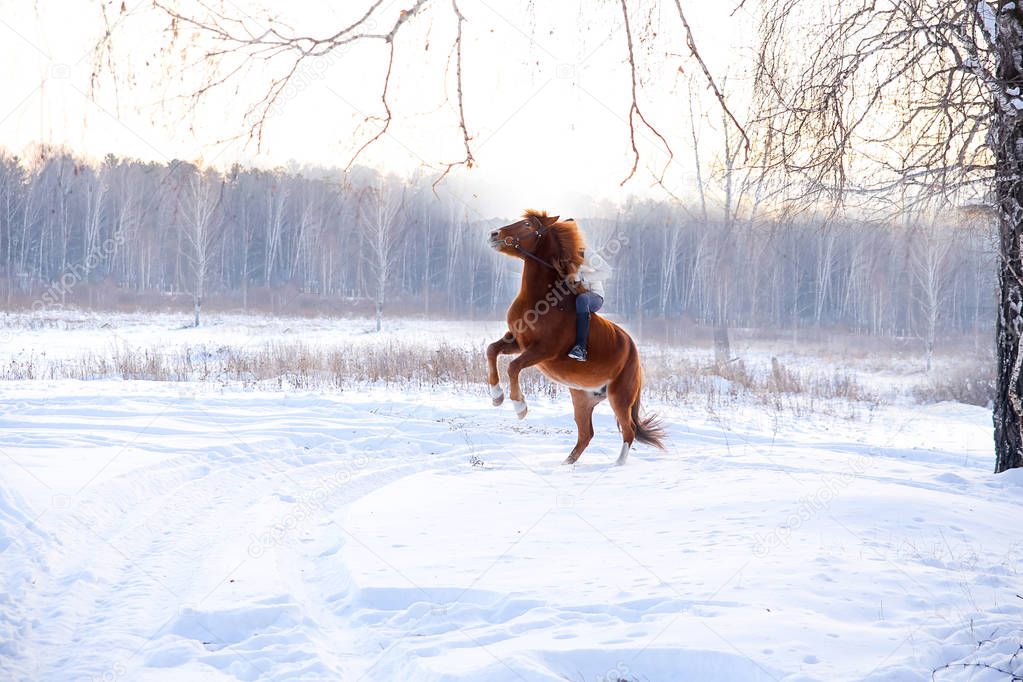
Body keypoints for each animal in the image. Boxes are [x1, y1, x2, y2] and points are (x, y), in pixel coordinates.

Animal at [488, 208, 671, 464]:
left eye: (527, 225)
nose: (494, 234)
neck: (543, 300)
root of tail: (633, 351)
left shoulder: (543, 350)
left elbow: (513, 367)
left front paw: (519, 407)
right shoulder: (518, 341)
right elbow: (492, 350)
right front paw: (497, 396)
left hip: (620, 397)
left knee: (629, 430)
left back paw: (616, 465)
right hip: (582, 398)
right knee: (586, 434)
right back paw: (566, 464)